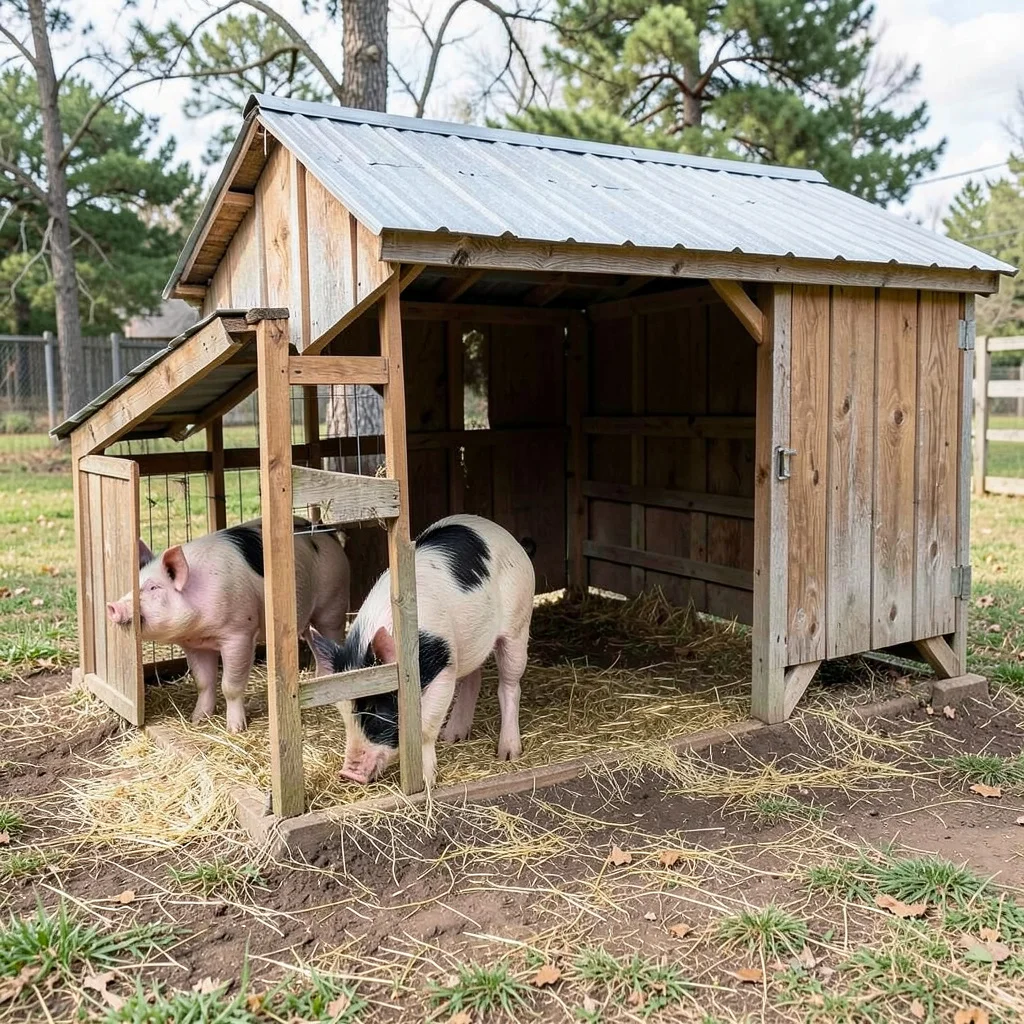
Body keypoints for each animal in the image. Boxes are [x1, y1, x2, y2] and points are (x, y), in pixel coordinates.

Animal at [107, 518, 349, 733]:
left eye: (154, 588)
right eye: (134, 586)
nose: (113, 606)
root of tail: (324, 529)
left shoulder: (239, 633)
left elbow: (230, 685)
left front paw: (235, 729)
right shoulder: (193, 644)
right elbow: (204, 682)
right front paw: (197, 720)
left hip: (333, 603)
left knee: (334, 636)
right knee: (314, 642)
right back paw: (319, 679)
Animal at [307, 514, 535, 787]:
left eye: (374, 709)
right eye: (341, 711)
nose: (348, 774)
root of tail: (505, 534)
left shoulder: (442, 669)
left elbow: (424, 729)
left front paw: (426, 782)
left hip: (518, 622)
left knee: (510, 685)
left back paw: (508, 754)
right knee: (473, 678)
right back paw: (452, 736)